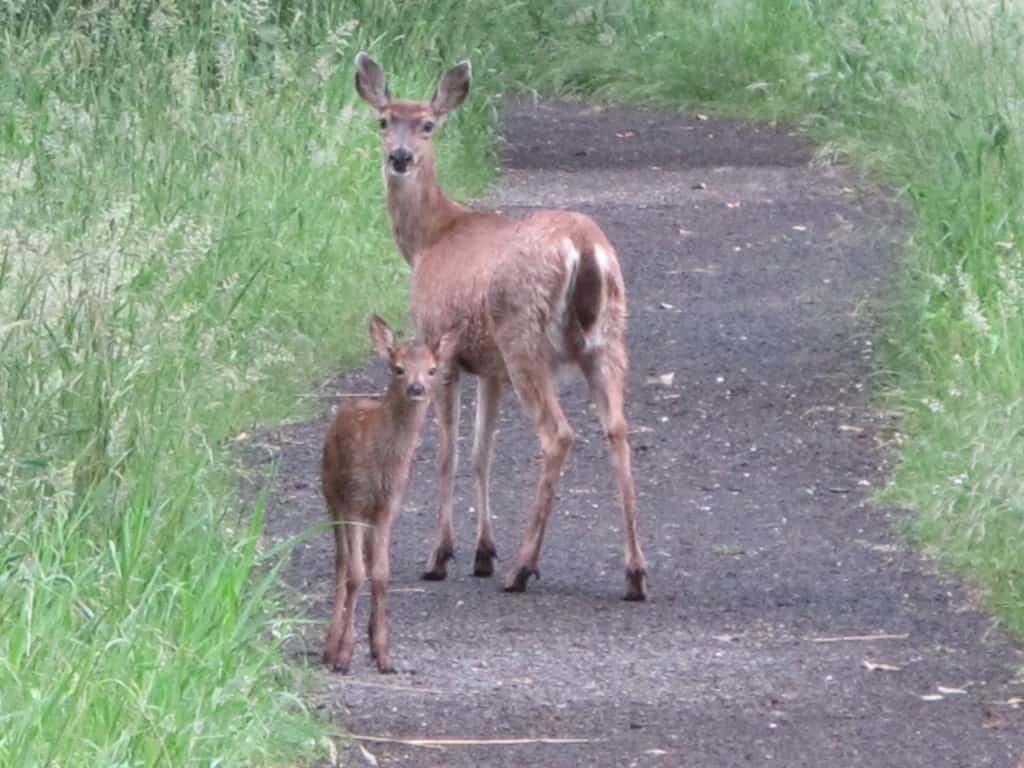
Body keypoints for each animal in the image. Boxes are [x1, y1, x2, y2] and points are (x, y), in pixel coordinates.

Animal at [352, 52, 638, 602]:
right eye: (384, 121)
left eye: (428, 124)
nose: (400, 156)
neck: (431, 239)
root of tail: (585, 249)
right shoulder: (489, 368)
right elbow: (481, 453)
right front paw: (483, 553)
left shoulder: (440, 349)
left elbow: (447, 452)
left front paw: (440, 556)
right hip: (608, 337)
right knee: (617, 429)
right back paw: (635, 573)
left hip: (523, 335)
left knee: (558, 434)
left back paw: (524, 568)